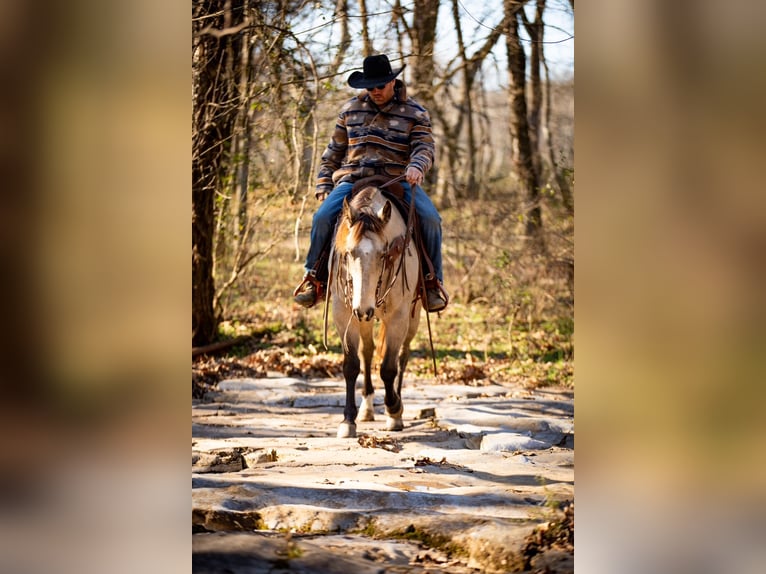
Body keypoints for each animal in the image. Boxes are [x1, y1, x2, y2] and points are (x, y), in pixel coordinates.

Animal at [329, 184, 421, 439]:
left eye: (383, 254)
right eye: (349, 253)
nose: (364, 308)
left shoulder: (399, 317)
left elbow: (388, 368)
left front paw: (394, 410)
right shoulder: (344, 314)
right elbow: (351, 365)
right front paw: (348, 420)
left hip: (412, 317)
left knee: (403, 356)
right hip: (364, 319)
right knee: (367, 352)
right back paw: (367, 408)